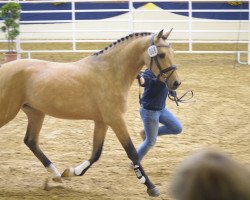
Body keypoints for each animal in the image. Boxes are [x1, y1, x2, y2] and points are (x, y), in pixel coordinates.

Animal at [0, 29, 181, 197]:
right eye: (162, 54)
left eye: (173, 52)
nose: (176, 83)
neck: (110, 72)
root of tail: (4, 68)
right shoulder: (116, 119)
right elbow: (132, 152)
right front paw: (151, 187)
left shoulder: (102, 121)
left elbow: (96, 153)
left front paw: (72, 172)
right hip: (8, 112)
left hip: (36, 112)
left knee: (31, 141)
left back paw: (56, 174)